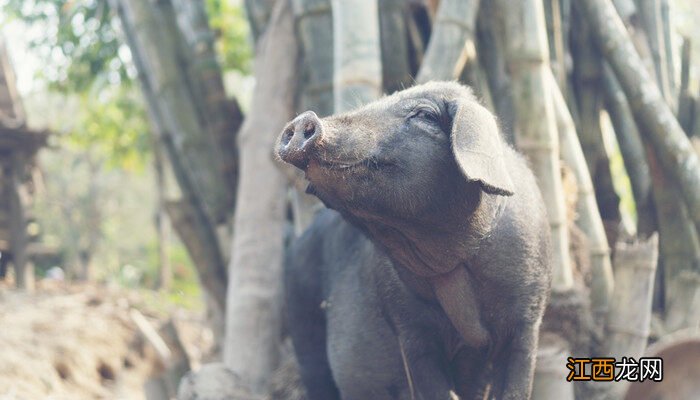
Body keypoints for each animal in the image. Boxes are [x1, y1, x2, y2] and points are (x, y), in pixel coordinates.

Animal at [278, 81, 552, 400]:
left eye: (425, 115)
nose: (303, 119)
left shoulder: (529, 314)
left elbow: (517, 384)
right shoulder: (407, 325)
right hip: (302, 321)